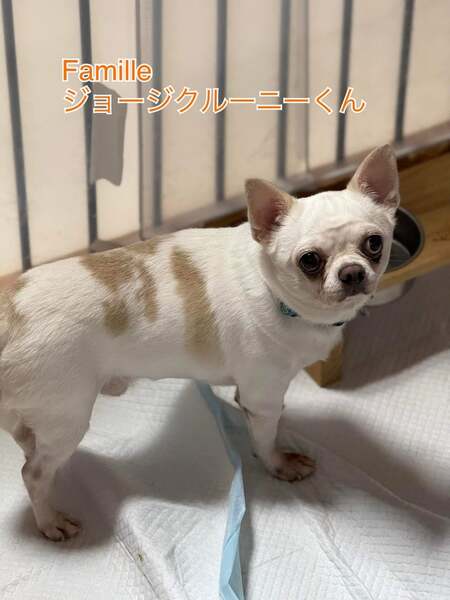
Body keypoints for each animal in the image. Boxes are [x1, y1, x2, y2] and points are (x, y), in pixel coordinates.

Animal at [0, 145, 399, 540]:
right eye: (310, 261)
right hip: (67, 414)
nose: (352, 272)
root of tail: (8, 312)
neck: (273, 291)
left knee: (28, 445)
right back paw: (50, 521)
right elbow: (265, 437)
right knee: (33, 473)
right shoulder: (262, 395)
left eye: (375, 243)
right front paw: (278, 463)